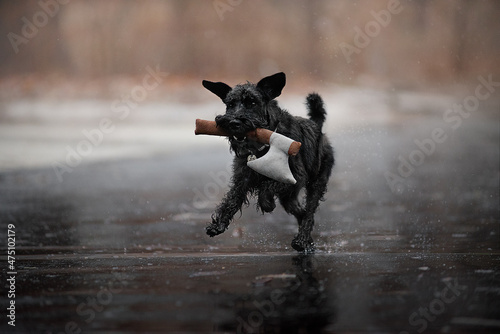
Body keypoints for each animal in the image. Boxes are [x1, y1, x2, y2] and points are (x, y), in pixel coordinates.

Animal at [201, 72, 334, 252]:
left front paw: (267, 204)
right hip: (289, 199)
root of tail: (317, 126)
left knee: (309, 212)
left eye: (252, 102)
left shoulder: (294, 177)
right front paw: (218, 225)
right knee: (301, 212)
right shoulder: (242, 179)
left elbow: (267, 187)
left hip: (316, 183)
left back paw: (302, 241)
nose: (234, 122)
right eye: (230, 104)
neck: (263, 146)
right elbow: (231, 201)